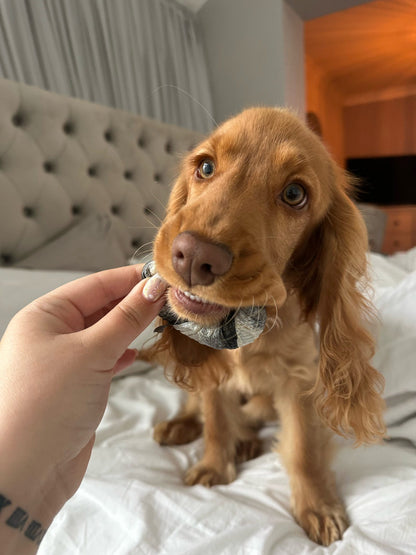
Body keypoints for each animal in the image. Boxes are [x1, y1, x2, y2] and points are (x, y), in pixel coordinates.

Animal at [139, 106, 384, 544]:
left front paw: (317, 506)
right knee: (195, 406)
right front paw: (214, 466)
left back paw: (247, 441)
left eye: (294, 194)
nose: (194, 255)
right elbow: (216, 422)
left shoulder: (299, 384)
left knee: (254, 412)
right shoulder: (212, 376)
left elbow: (302, 449)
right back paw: (182, 425)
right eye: (205, 167)